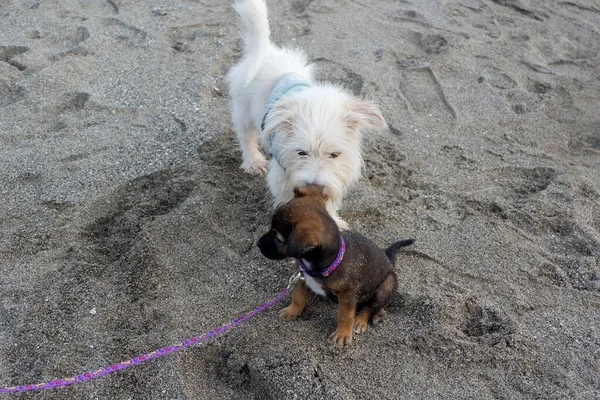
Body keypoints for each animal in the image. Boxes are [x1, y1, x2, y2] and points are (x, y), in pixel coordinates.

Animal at [227, 0, 386, 228]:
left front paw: (332, 221)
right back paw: (253, 161)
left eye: (334, 154)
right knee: (246, 136)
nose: (314, 186)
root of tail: (266, 51)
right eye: (301, 152)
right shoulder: (283, 177)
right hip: (243, 109)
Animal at [255, 186, 414, 346]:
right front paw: (292, 311)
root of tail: (388, 258)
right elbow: (298, 297)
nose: (258, 244)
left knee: (371, 306)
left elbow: (344, 315)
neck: (329, 262)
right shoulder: (302, 278)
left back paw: (364, 320)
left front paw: (342, 334)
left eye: (277, 238)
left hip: (387, 285)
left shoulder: (347, 295)